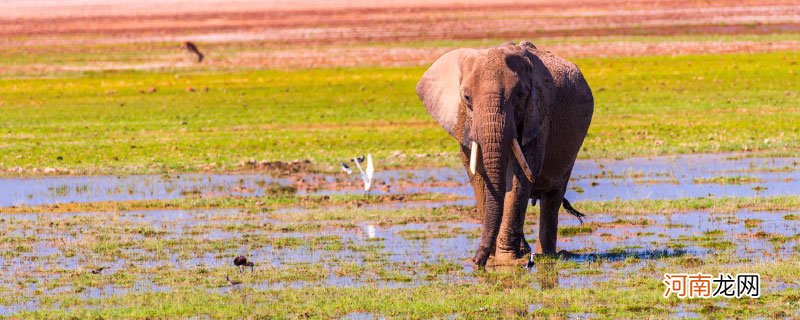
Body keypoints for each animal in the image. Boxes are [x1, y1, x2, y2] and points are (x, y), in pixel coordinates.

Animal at [416, 41, 592, 266]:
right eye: (466, 98)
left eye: (520, 96)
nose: (476, 261)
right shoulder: (463, 123)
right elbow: (478, 177)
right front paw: (496, 257)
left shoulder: (538, 119)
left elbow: (519, 179)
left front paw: (507, 260)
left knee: (553, 196)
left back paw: (545, 255)